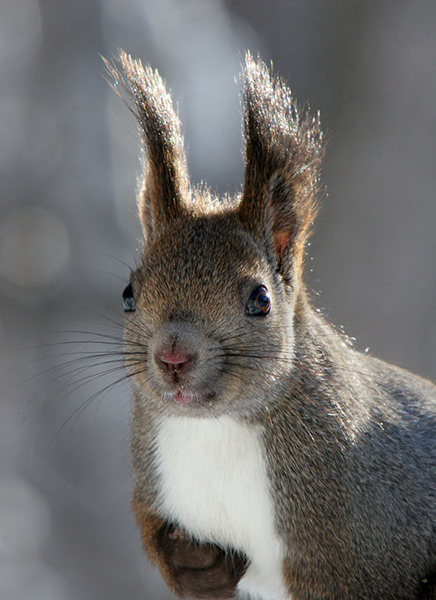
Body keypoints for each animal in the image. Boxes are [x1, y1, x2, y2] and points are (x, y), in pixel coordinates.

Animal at [104, 51, 436, 600]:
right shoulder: (153, 490)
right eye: (129, 295)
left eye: (260, 300)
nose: (173, 357)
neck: (217, 429)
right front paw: (196, 563)